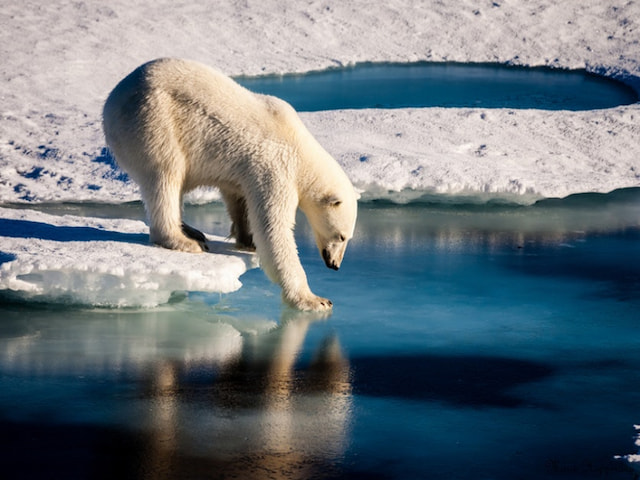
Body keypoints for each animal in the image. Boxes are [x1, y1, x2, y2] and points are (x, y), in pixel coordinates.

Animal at [102, 58, 358, 311]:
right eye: (341, 236)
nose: (335, 264)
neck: (300, 149)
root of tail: (112, 100)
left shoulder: (246, 171)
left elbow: (239, 198)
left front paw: (247, 239)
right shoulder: (276, 168)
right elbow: (274, 229)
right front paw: (315, 299)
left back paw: (191, 230)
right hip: (154, 121)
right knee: (166, 176)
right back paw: (185, 241)